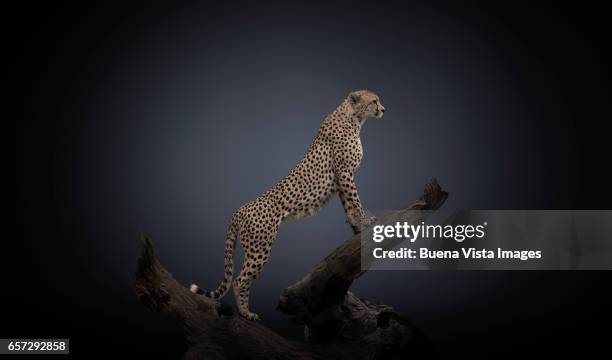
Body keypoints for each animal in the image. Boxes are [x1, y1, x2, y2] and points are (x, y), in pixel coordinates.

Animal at [189, 90, 384, 320]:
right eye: (374, 101)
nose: (383, 109)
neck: (354, 118)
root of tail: (238, 210)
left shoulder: (340, 178)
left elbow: (348, 205)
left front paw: (356, 228)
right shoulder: (345, 172)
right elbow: (355, 200)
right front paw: (366, 220)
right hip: (260, 248)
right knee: (239, 280)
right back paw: (246, 313)